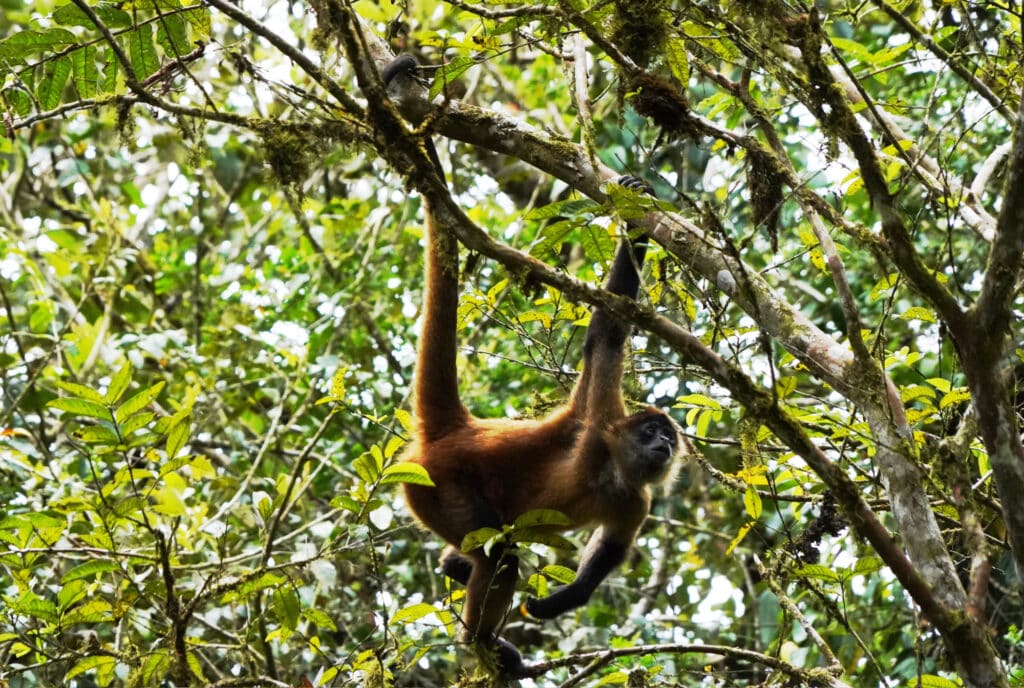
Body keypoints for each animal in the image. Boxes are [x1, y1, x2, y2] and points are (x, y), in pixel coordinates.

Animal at [383, 56, 683, 678]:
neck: (612, 469)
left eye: (669, 439)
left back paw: (458, 574)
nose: (665, 447)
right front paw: (637, 216)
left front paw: (556, 603)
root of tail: (456, 429)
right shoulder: (598, 416)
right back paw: (479, 641)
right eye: (651, 432)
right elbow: (607, 332)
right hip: (439, 485)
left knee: (487, 554)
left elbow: (607, 556)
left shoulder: (637, 501)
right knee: (500, 553)